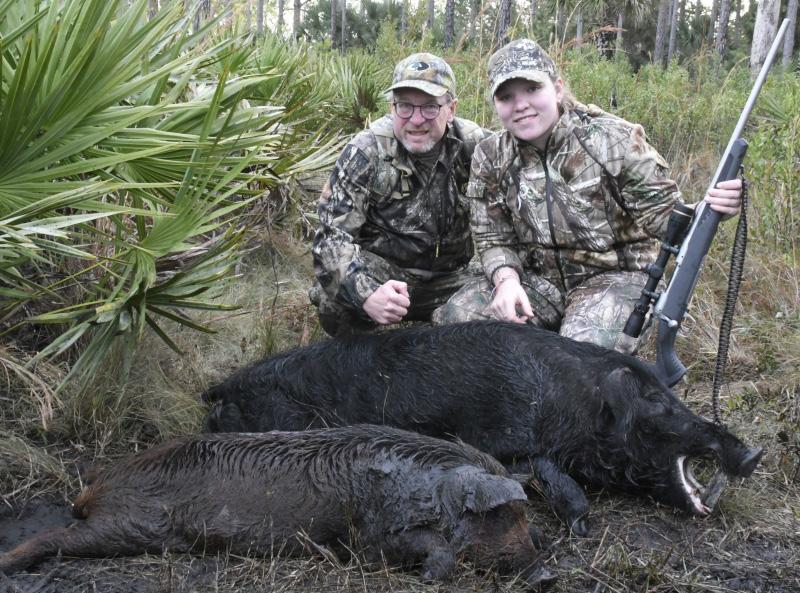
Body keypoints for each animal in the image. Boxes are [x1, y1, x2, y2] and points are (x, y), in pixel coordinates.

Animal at [0, 425, 553, 588]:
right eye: (499, 515)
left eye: (524, 514)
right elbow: (427, 545)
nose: (547, 576)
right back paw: (9, 563)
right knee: (59, 536)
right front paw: (434, 577)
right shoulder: (369, 538)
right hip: (130, 524)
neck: (430, 492)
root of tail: (100, 478)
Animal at [203, 320, 764, 536]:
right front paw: (582, 525)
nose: (754, 453)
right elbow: (539, 466)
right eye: (658, 404)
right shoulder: (490, 440)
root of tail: (222, 387)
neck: (567, 402)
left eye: (672, 396)